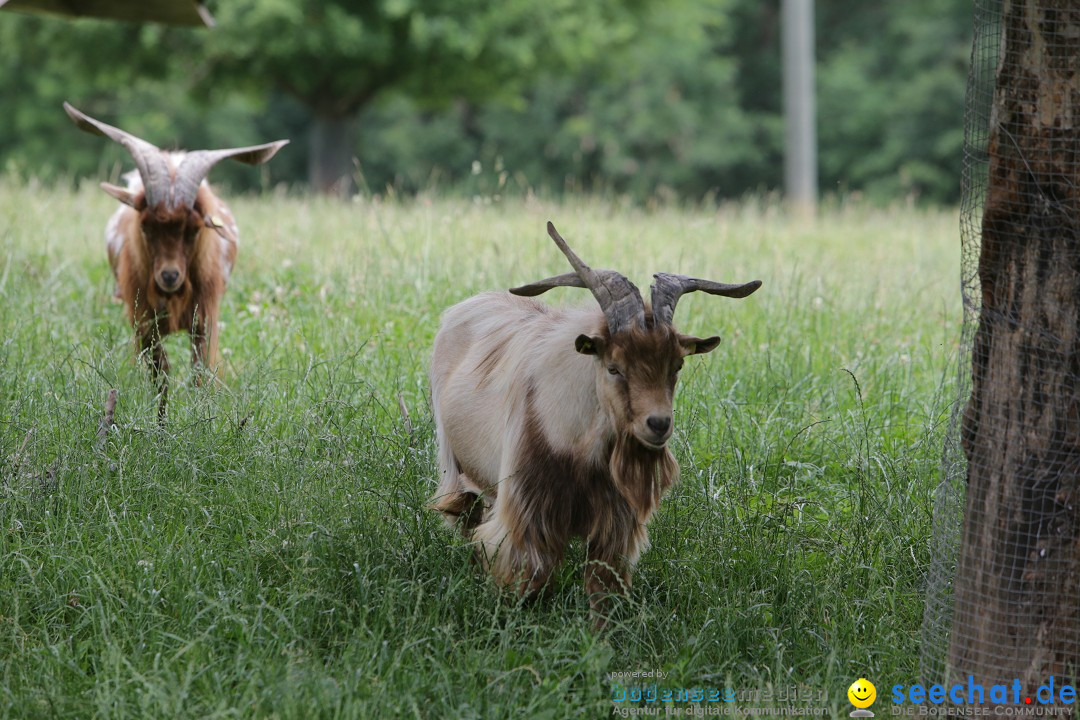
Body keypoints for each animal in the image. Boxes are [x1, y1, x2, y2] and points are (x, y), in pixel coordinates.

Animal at [63, 104, 287, 414]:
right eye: (145, 226)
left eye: (195, 229)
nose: (169, 276)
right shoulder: (144, 321)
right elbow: (161, 373)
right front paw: (161, 420)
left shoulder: (205, 318)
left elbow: (199, 372)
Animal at [429, 222, 760, 626]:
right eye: (614, 367)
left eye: (677, 366)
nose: (658, 424)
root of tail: (462, 308)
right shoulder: (527, 512)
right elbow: (528, 578)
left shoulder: (614, 522)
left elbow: (603, 586)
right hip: (453, 462)